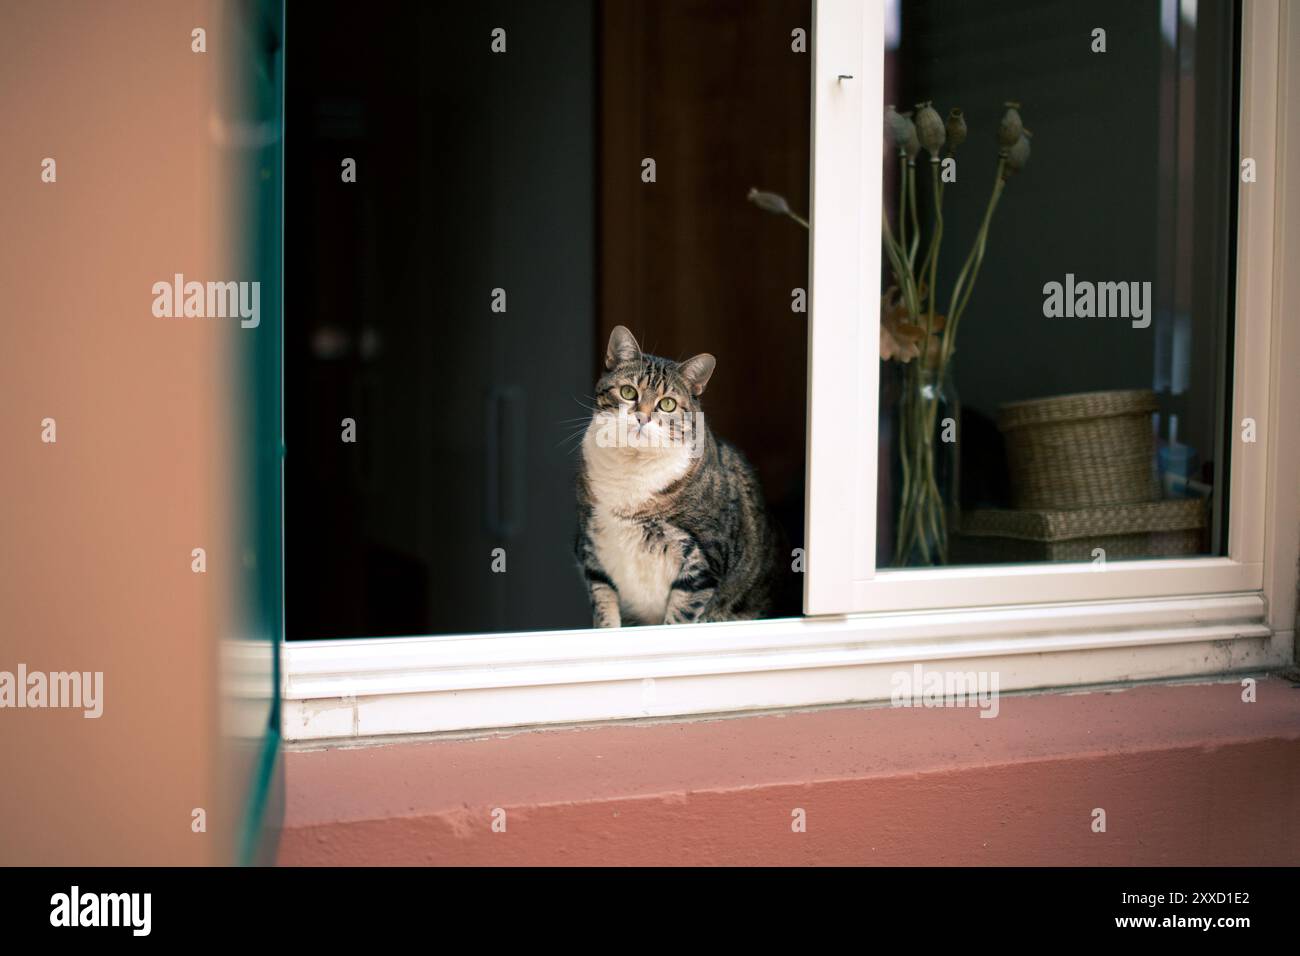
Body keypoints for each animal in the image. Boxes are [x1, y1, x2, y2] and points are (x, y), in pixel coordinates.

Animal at [579, 329, 790, 629]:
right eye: (628, 392)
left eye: (667, 404)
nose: (642, 417)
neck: (633, 467)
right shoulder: (592, 546)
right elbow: (603, 605)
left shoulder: (705, 559)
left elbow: (680, 616)